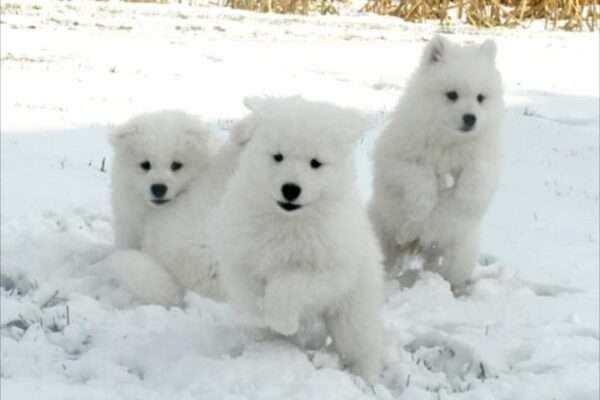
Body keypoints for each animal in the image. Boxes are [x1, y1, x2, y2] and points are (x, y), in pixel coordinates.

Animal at [368, 36, 504, 290]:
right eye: (452, 95)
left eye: (480, 98)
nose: (471, 118)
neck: (449, 140)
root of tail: (418, 246)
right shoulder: (397, 159)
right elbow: (420, 175)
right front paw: (422, 205)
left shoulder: (486, 160)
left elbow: (477, 174)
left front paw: (464, 198)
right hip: (384, 235)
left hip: (460, 251)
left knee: (450, 270)